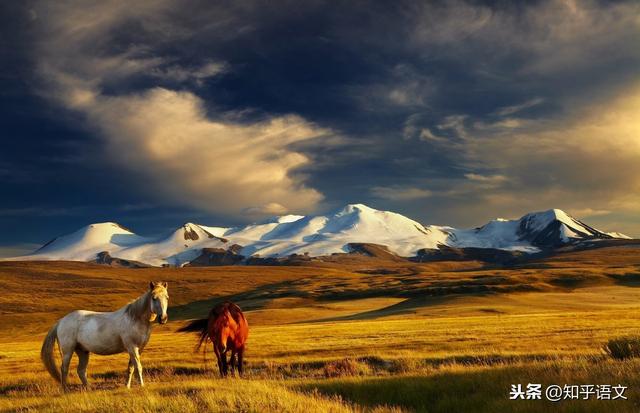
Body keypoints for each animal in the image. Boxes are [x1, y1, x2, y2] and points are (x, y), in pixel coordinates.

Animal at [40, 280, 170, 390]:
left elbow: (131, 367)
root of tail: (61, 321)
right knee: (64, 368)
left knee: (81, 370)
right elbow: (138, 367)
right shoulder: (132, 347)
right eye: (154, 298)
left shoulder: (139, 348)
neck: (135, 318)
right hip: (68, 351)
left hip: (82, 351)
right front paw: (142, 385)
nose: (163, 318)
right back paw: (65, 389)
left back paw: (89, 388)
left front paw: (127, 386)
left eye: (167, 297)